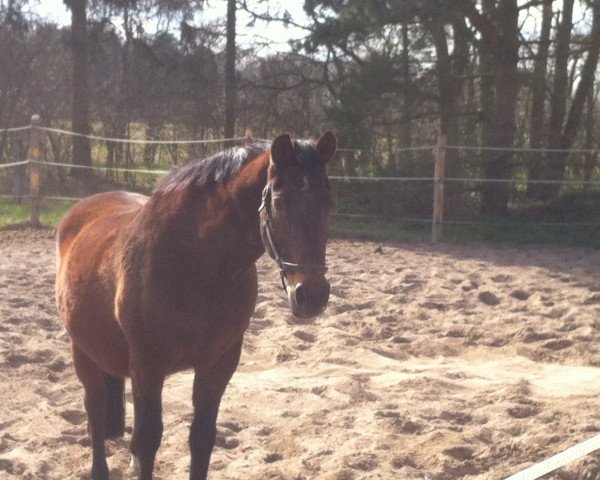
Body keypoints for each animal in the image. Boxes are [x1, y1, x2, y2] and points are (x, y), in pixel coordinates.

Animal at [55, 132, 338, 480]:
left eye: (328, 203)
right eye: (280, 201)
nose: (312, 295)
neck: (196, 263)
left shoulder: (217, 364)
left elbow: (202, 438)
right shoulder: (148, 364)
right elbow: (148, 439)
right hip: (83, 349)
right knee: (94, 406)